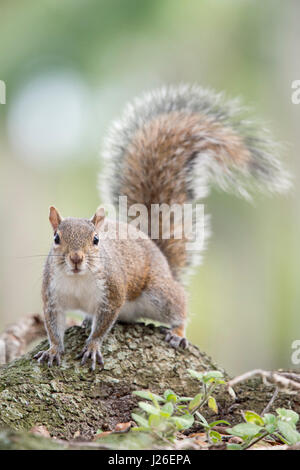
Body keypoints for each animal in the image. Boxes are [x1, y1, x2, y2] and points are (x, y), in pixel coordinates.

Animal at [34, 84, 290, 370]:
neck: (77, 279)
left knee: (180, 307)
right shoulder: (52, 297)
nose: (76, 259)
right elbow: (53, 327)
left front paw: (92, 346)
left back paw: (177, 333)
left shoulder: (113, 293)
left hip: (159, 293)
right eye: (56, 238)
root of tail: (165, 264)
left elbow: (103, 325)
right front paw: (53, 350)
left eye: (96, 240)